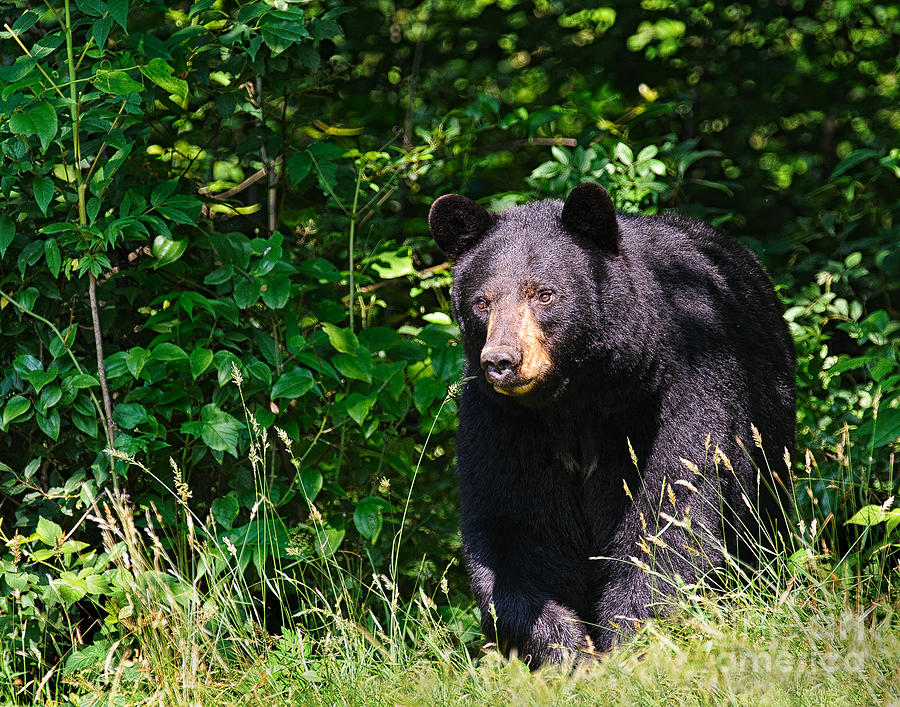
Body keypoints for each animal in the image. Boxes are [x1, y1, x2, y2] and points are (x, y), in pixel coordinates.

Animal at [428, 183, 796, 668]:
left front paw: (627, 641)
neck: (577, 400)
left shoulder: (684, 384)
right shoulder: (503, 423)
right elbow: (515, 529)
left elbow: (671, 511)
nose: (501, 361)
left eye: (544, 294)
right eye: (481, 302)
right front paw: (565, 650)